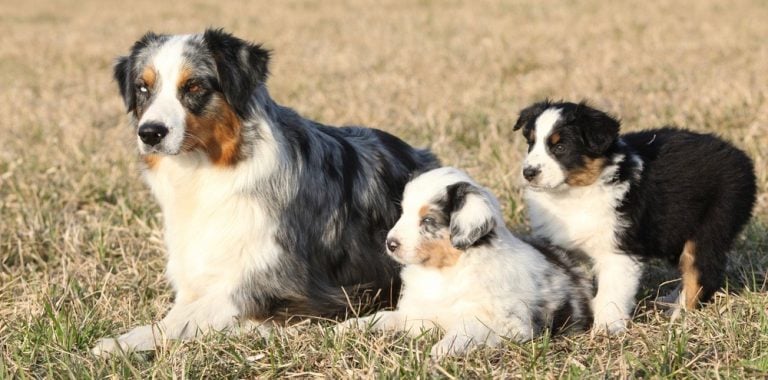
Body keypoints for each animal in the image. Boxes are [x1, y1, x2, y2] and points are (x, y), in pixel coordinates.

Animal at [91, 28, 438, 354]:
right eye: (143, 88)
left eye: (194, 87)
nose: (150, 133)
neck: (207, 173)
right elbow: (185, 308)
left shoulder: (279, 280)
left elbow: (186, 316)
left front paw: (121, 342)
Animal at [336, 168, 592, 358]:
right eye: (403, 212)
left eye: (428, 220)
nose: (390, 243)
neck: (445, 271)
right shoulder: (421, 313)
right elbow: (386, 317)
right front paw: (350, 325)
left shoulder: (506, 322)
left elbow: (468, 329)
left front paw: (443, 348)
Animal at [510, 100, 756, 332]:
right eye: (531, 143)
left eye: (560, 147)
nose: (528, 173)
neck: (574, 196)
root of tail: (742, 158)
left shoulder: (618, 249)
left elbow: (611, 292)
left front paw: (606, 329)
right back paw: (670, 301)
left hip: (712, 224)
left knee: (703, 271)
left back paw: (680, 316)